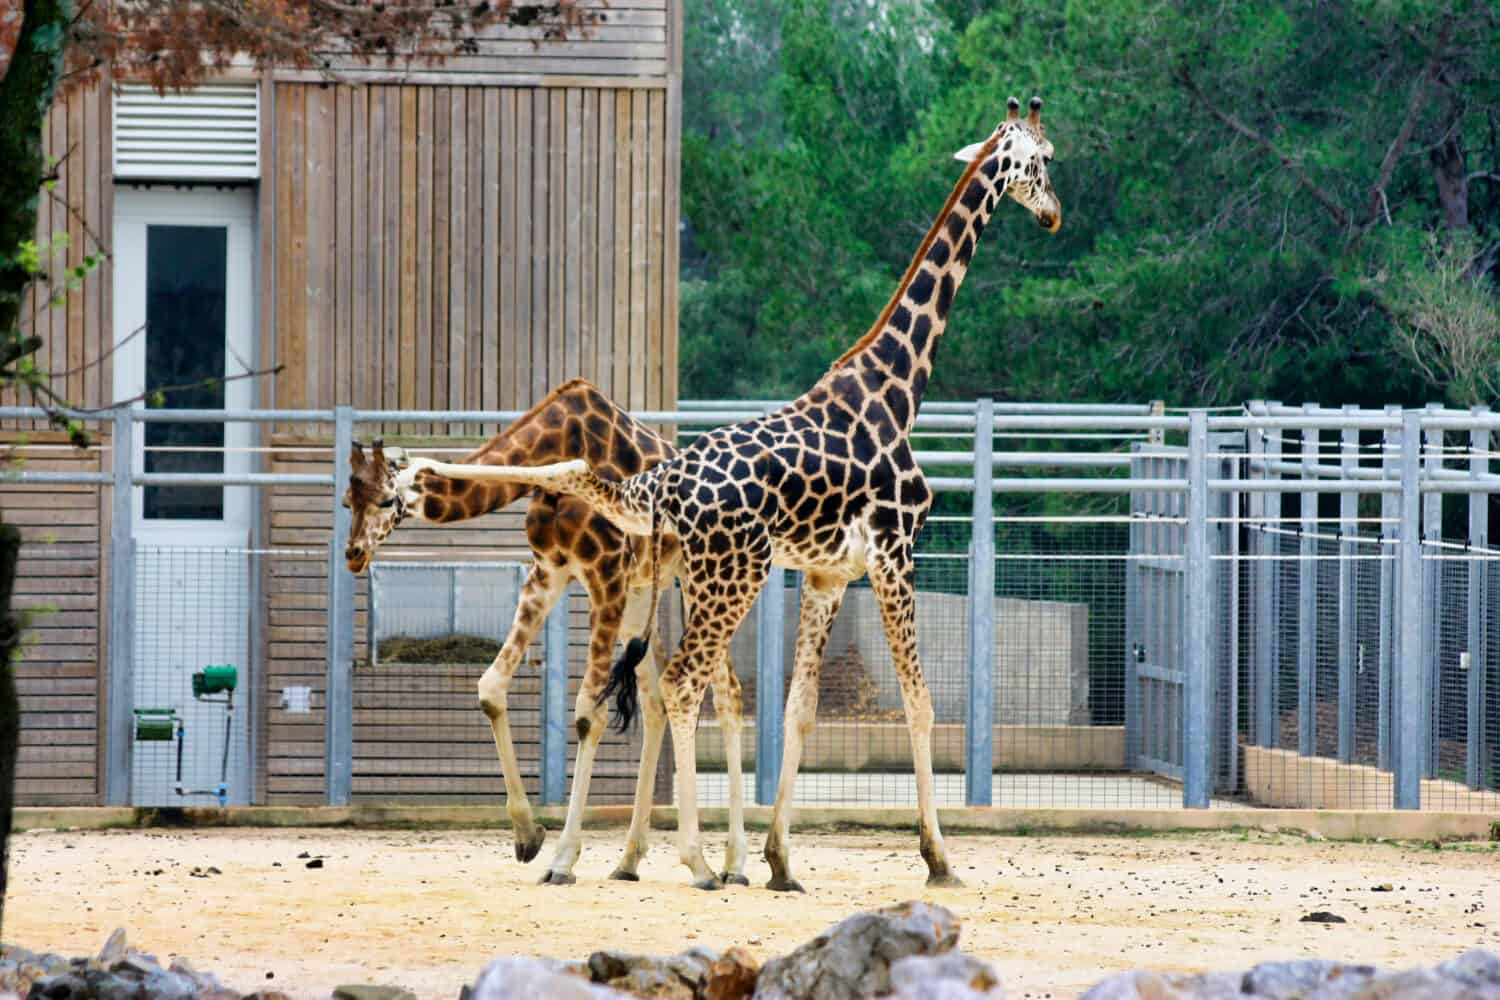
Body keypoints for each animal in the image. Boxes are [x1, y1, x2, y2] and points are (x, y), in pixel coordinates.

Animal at [346, 379, 756, 887]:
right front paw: (528, 835)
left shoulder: (604, 575)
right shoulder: (550, 572)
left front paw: (562, 859)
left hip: (701, 583)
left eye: (385, 500)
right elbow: (490, 688)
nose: (353, 553)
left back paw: (732, 865)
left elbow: (588, 715)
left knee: (727, 694)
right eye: (346, 500)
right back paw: (629, 861)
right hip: (645, 593)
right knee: (658, 700)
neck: (560, 441)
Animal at [417, 97, 1062, 887]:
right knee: (679, 684)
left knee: (657, 671)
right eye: (1043, 160)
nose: (1054, 215)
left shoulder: (828, 573)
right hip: (729, 578)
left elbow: (799, 710)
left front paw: (781, 859)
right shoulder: (893, 554)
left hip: (686, 577)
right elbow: (919, 704)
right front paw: (939, 859)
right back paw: (689, 859)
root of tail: (664, 483)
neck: (897, 388)